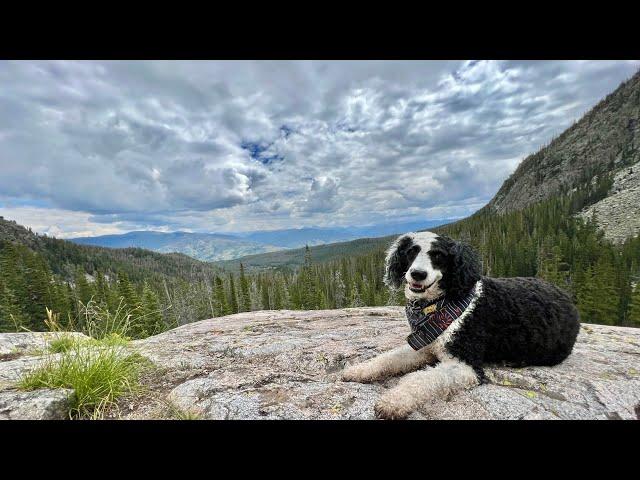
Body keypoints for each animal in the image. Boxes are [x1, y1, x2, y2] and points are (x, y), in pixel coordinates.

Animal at [342, 232, 584, 420]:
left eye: (438, 255)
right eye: (411, 252)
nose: (417, 274)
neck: (441, 305)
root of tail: (566, 297)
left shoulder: (465, 365)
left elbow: (422, 379)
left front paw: (394, 401)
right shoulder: (425, 346)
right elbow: (389, 358)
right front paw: (359, 370)